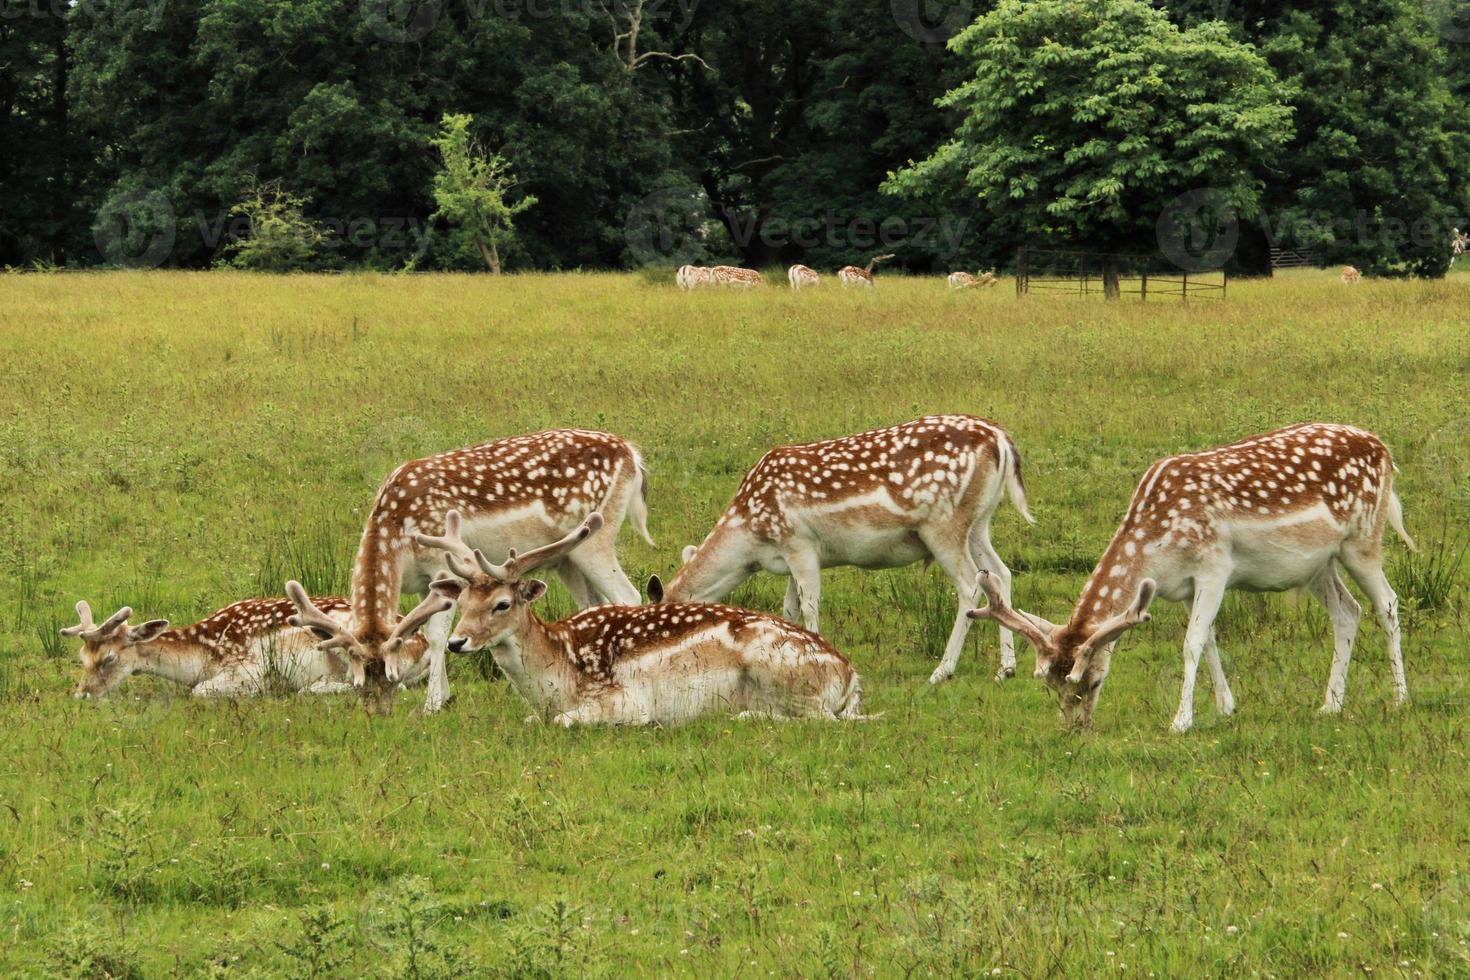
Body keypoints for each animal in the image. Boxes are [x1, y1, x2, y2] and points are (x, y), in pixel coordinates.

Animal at [66, 593, 370, 702]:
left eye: (108, 658)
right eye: (82, 657)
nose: (81, 694)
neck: (201, 659)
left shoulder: (248, 668)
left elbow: (199, 691)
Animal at [283, 429, 652, 714]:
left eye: (392, 677)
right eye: (357, 681)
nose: (379, 713)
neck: (397, 534)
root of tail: (632, 455)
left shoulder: (440, 565)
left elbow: (436, 635)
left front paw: (432, 703)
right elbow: (430, 632)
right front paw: (444, 696)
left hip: (596, 540)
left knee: (629, 595)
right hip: (567, 560)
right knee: (595, 603)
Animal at [408, 511, 864, 725]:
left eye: (502, 603)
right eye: (463, 601)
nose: (458, 642)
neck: (558, 675)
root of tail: (850, 675)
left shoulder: (624, 698)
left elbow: (565, 721)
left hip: (780, 669)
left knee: (821, 717)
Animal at [655, 417, 1034, 687]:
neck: (750, 539)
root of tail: (1000, 439)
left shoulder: (800, 544)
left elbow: (809, 605)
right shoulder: (790, 556)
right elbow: (789, 608)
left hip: (943, 524)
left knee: (970, 584)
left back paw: (942, 671)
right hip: (979, 522)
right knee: (999, 574)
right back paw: (1006, 669)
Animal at [964, 417, 1411, 731]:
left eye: (1091, 682)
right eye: (1050, 686)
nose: (1076, 727)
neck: (1156, 548)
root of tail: (1385, 449)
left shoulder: (1215, 567)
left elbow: (1191, 643)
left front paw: (1181, 721)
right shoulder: (1184, 586)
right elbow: (1209, 638)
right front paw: (1226, 707)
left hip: (1363, 539)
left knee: (1387, 603)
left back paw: (1400, 698)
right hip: (1317, 565)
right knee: (1348, 612)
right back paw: (1330, 704)